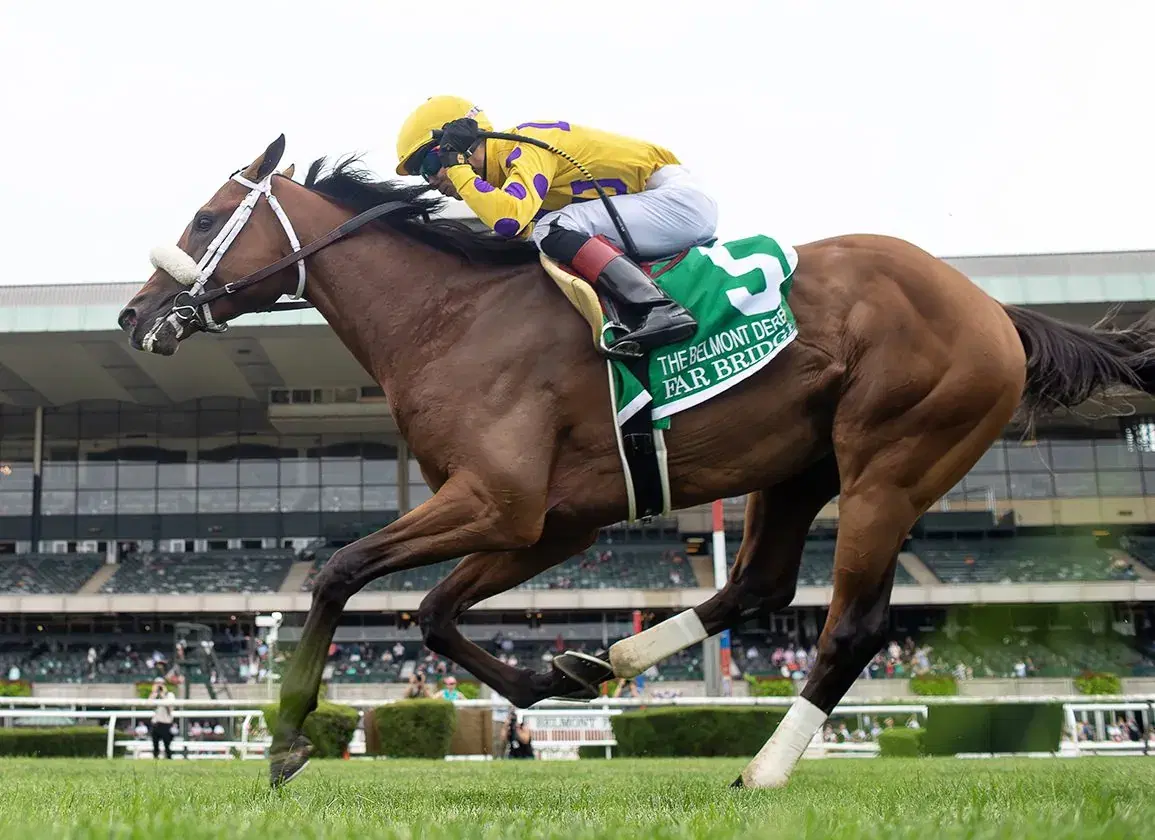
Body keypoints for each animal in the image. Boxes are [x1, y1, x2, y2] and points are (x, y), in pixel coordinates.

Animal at [119, 135, 1155, 788]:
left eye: (208, 215)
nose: (134, 316)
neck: (450, 317)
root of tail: (993, 310)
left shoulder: (499, 502)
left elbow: (341, 571)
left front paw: (289, 737)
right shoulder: (547, 521)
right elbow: (434, 613)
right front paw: (551, 680)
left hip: (890, 465)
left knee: (851, 627)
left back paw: (761, 770)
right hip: (797, 467)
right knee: (757, 587)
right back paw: (614, 655)